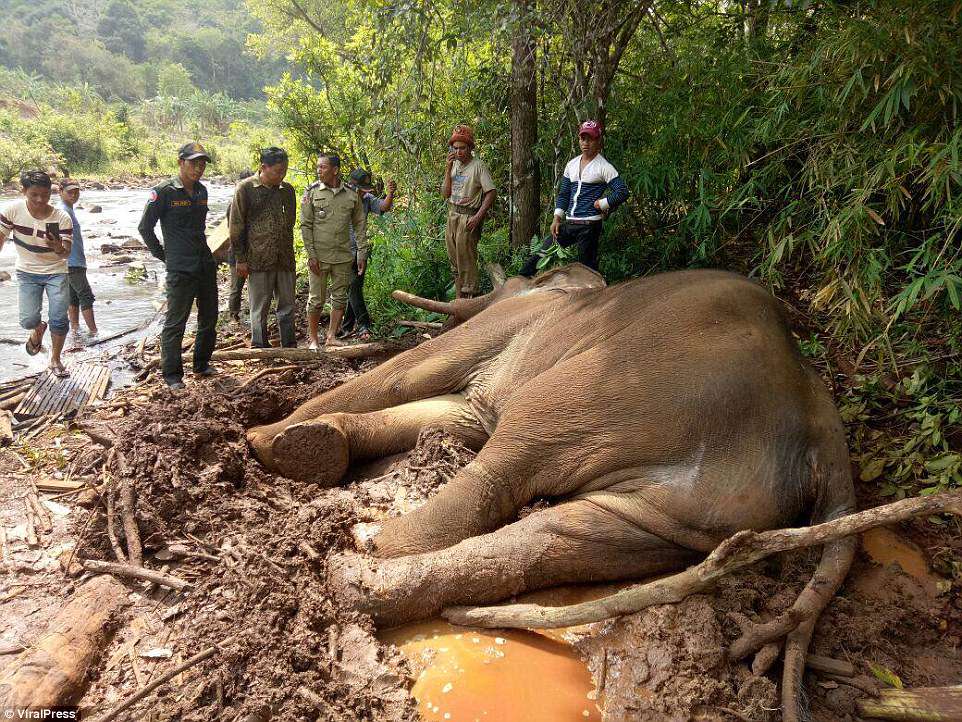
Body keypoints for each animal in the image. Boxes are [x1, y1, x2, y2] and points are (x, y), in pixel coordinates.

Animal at [246, 264, 856, 720]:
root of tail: (820, 416)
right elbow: (452, 415)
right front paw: (302, 444)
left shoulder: (508, 322)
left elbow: (413, 375)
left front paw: (261, 439)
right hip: (708, 505)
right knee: (562, 536)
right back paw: (361, 583)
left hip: (616, 389)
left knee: (510, 457)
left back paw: (362, 549)